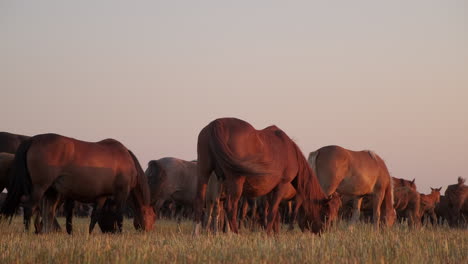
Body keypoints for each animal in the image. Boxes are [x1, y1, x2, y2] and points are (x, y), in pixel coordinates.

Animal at [0, 134, 156, 233]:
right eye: (153, 218)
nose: (148, 232)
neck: (126, 159)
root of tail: (33, 139)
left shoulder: (102, 196)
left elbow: (94, 217)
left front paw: (89, 234)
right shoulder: (122, 193)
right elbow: (119, 215)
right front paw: (120, 233)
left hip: (50, 190)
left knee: (47, 213)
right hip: (39, 187)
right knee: (29, 208)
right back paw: (28, 232)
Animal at [192, 117, 338, 235]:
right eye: (325, 215)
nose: (322, 233)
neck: (290, 151)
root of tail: (216, 124)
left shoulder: (269, 191)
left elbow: (272, 214)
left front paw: (275, 234)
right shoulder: (281, 186)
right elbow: (272, 212)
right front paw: (268, 235)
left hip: (203, 173)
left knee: (199, 201)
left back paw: (196, 234)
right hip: (236, 180)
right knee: (230, 207)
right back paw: (236, 234)